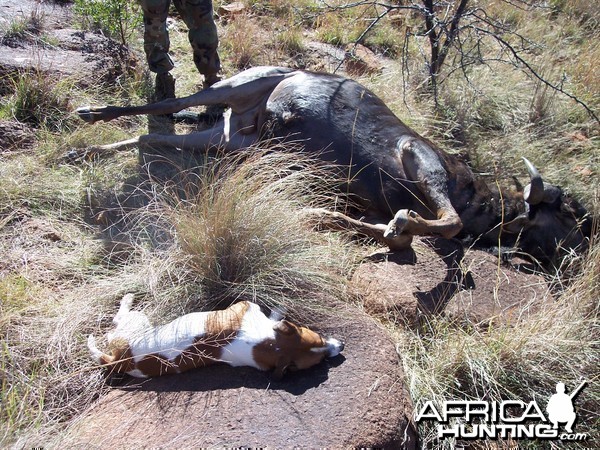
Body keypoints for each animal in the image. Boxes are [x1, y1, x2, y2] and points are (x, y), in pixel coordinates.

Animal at [86, 296, 344, 380]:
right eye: (319, 337)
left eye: (321, 359)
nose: (342, 345)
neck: (267, 343)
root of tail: (119, 360)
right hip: (137, 321)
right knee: (114, 323)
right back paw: (127, 298)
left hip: (137, 324)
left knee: (113, 327)